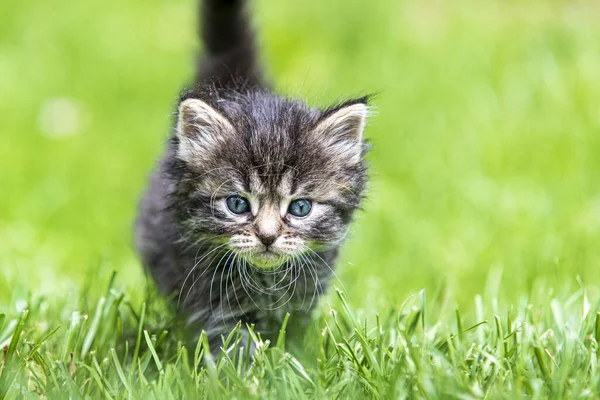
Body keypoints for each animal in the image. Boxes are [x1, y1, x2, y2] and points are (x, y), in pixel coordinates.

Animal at [136, 0, 370, 354]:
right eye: (237, 204)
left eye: (300, 207)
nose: (268, 236)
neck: (266, 282)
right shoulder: (211, 300)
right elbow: (232, 345)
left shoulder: (303, 297)